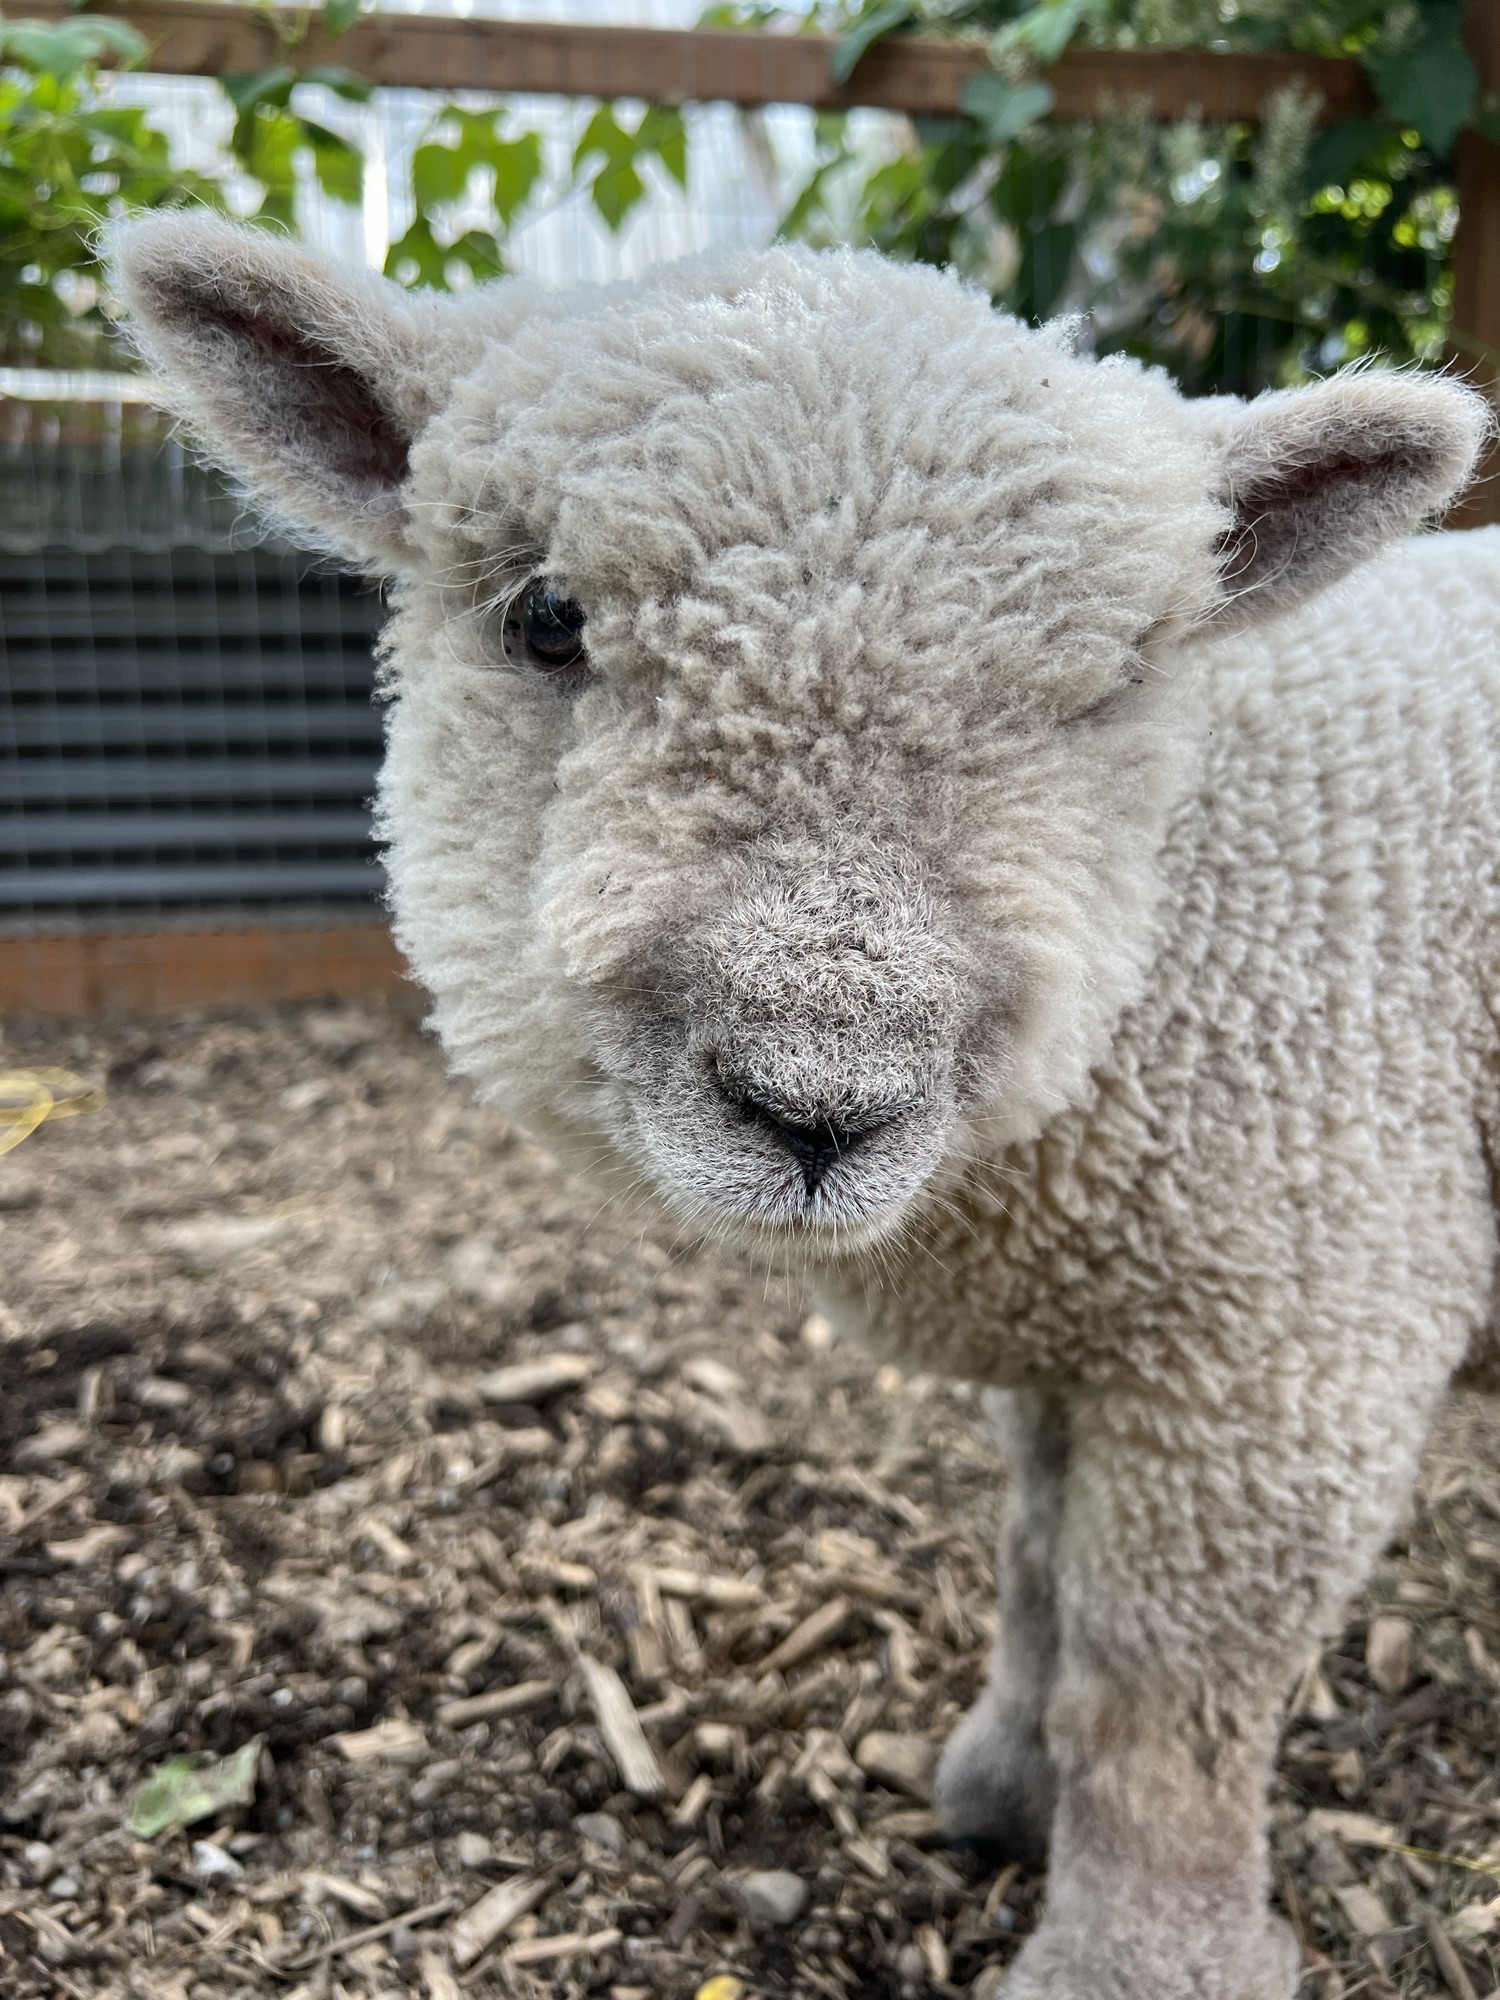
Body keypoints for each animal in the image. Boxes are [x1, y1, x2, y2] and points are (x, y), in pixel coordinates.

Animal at [114, 215, 1500, 2000]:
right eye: (545, 618)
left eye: (1116, 686)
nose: (820, 1098)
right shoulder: (1107, 1324)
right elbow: (1041, 1565)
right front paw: (1005, 1787)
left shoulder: (1292, 1337)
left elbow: (1165, 1688)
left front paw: (1138, 1955)